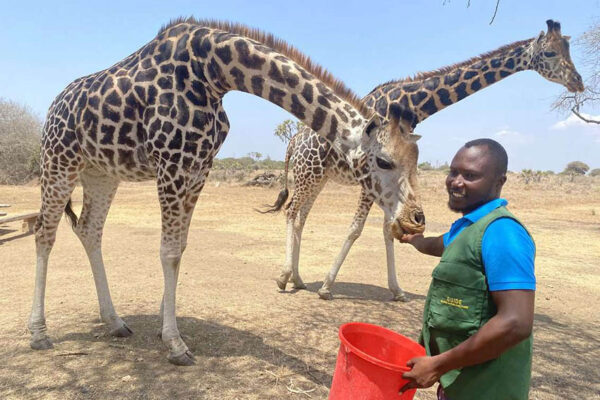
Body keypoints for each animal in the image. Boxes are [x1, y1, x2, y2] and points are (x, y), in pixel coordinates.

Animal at [30, 18, 426, 366]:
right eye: (384, 161)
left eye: (417, 159)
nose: (417, 219)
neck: (214, 74)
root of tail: (52, 106)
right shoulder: (171, 164)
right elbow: (169, 252)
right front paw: (175, 344)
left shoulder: (198, 168)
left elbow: (180, 248)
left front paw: (164, 325)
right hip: (58, 161)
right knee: (44, 233)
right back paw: (38, 333)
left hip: (101, 173)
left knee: (89, 230)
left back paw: (114, 322)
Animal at [264, 18, 584, 300]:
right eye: (551, 53)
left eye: (569, 50)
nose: (578, 81)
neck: (411, 104)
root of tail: (293, 141)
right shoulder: (374, 175)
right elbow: (356, 229)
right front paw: (327, 287)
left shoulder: (389, 180)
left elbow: (388, 229)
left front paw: (397, 291)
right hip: (307, 172)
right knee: (291, 212)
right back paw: (283, 277)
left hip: (318, 177)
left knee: (301, 217)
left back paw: (298, 279)